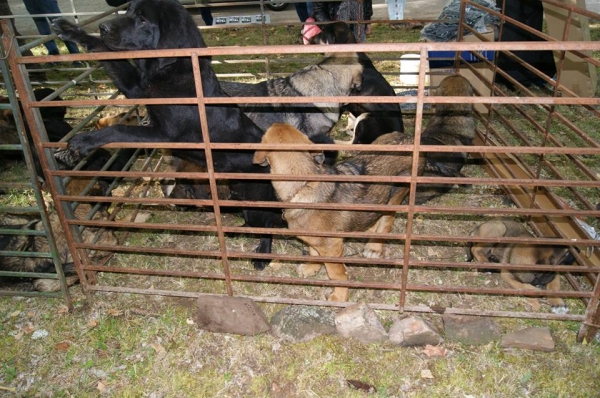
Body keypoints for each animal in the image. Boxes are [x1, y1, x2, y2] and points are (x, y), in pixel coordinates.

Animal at [51, 0, 278, 270]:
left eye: (143, 20)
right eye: (128, 11)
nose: (103, 27)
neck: (173, 71)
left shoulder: (164, 133)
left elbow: (121, 128)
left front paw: (83, 141)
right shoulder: (137, 89)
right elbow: (103, 49)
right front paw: (71, 30)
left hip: (256, 201)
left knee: (268, 225)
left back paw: (262, 255)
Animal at [253, 123, 426, 300]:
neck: (303, 185)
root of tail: (407, 137)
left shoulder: (333, 247)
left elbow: (336, 273)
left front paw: (340, 296)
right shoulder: (316, 240)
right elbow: (314, 253)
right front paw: (312, 268)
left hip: (395, 195)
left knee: (386, 220)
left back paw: (374, 247)